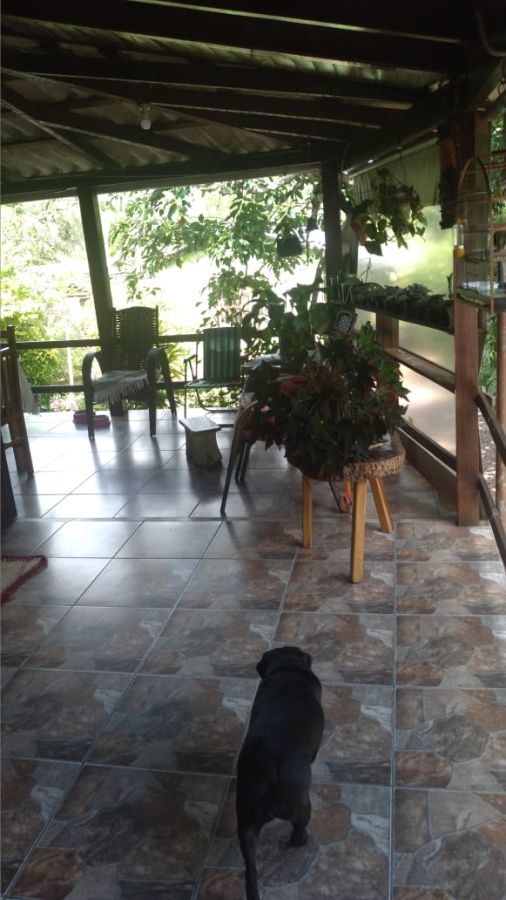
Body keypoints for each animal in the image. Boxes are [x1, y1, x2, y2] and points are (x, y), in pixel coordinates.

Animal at [236, 645, 325, 900]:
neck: (287, 667)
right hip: (301, 806)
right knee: (298, 828)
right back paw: (300, 841)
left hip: (245, 824)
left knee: (250, 868)